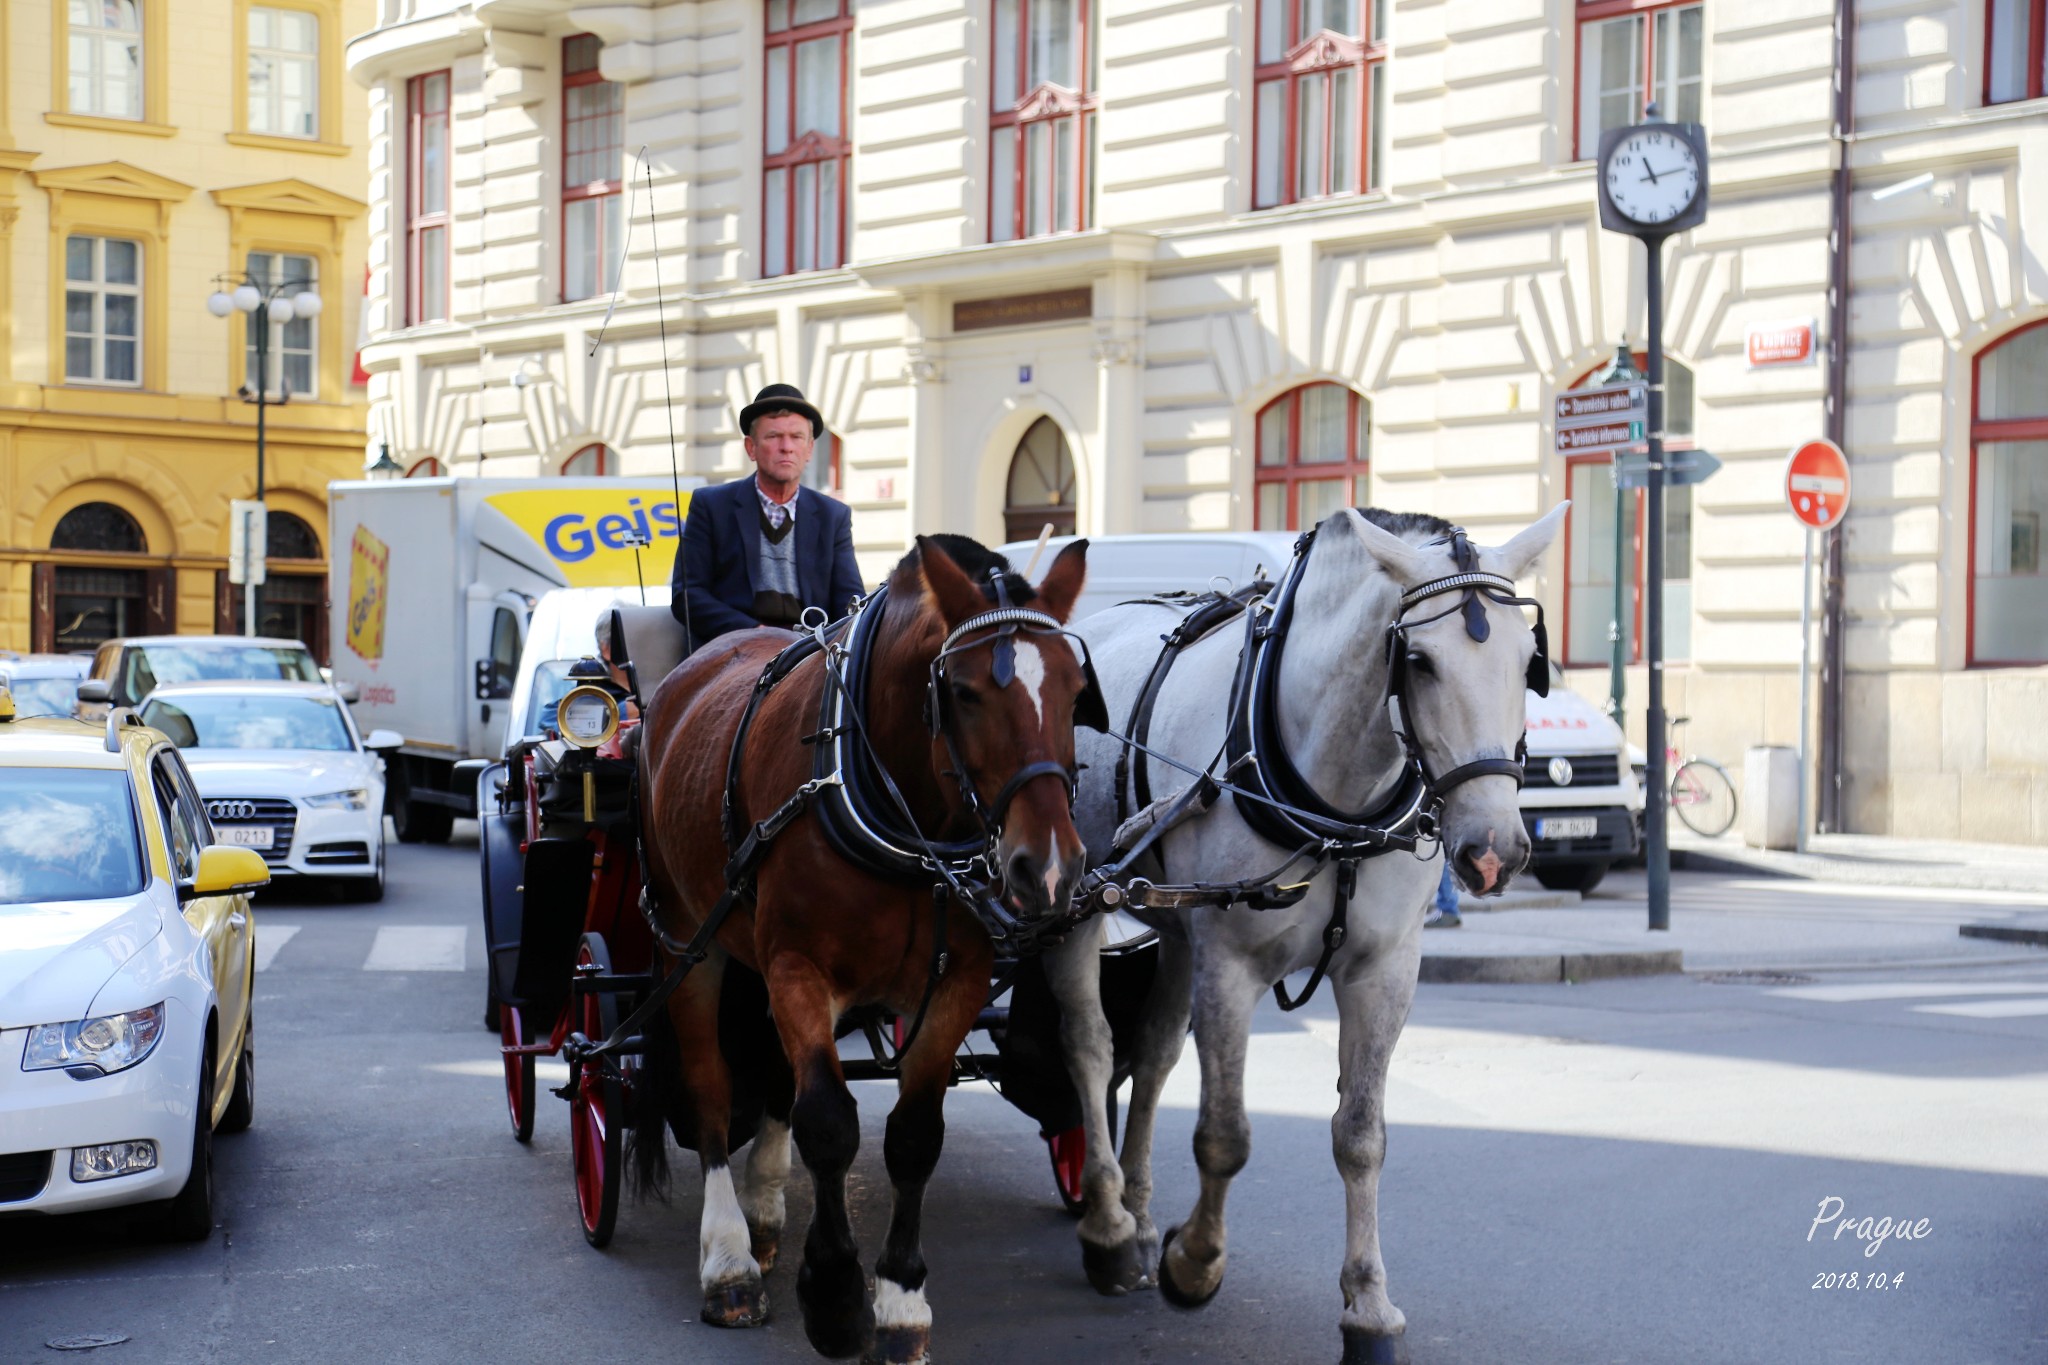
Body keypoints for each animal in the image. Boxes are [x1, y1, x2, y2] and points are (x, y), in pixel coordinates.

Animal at [634, 532, 1089, 1365]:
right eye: (965, 692)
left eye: (1076, 692)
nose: (1047, 867)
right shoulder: (799, 967)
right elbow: (828, 1121)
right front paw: (835, 1295)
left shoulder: (957, 982)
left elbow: (912, 1132)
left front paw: (901, 1299)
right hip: (690, 936)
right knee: (712, 1084)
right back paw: (729, 1255)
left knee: (775, 1074)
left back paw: (765, 1212)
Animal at [1048, 505, 1556, 1365]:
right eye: (1418, 660)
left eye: (1528, 661)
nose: (1493, 850)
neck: (1335, 803)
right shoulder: (1230, 963)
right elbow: (1225, 1133)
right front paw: (1196, 1261)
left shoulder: (1383, 970)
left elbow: (1361, 1135)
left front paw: (1369, 1307)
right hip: (1074, 897)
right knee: (1089, 1047)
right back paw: (1112, 1226)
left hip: (1176, 929)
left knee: (1150, 1057)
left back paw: (1141, 1216)